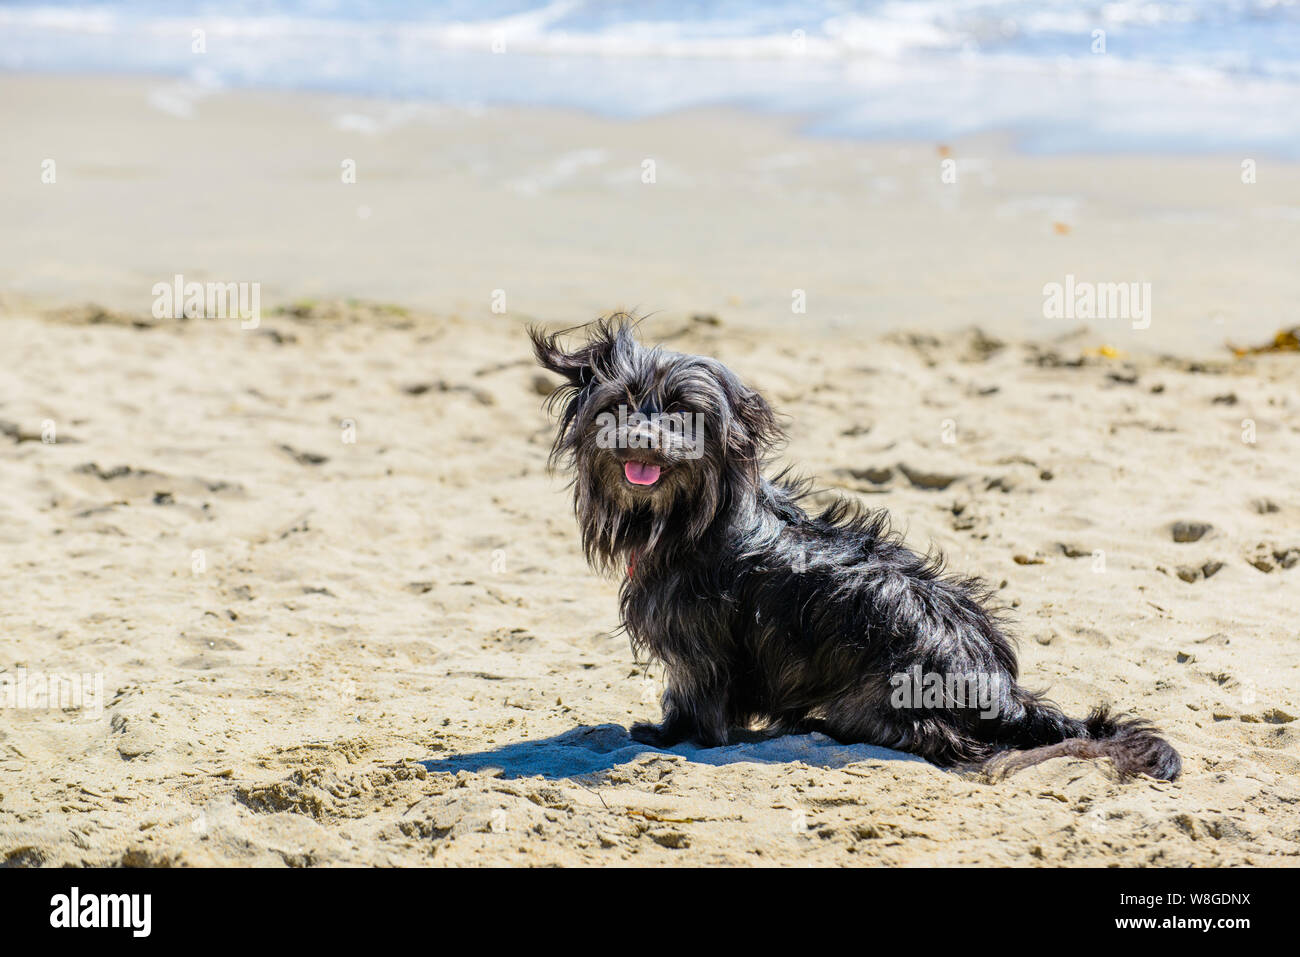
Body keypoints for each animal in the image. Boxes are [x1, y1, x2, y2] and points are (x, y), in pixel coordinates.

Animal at [533, 317, 1185, 780]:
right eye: (619, 404)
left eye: (683, 413)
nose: (641, 440)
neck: (691, 518)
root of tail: (1002, 689)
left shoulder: (700, 649)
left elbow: (693, 701)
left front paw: (667, 736)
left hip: (878, 695)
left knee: (936, 738)